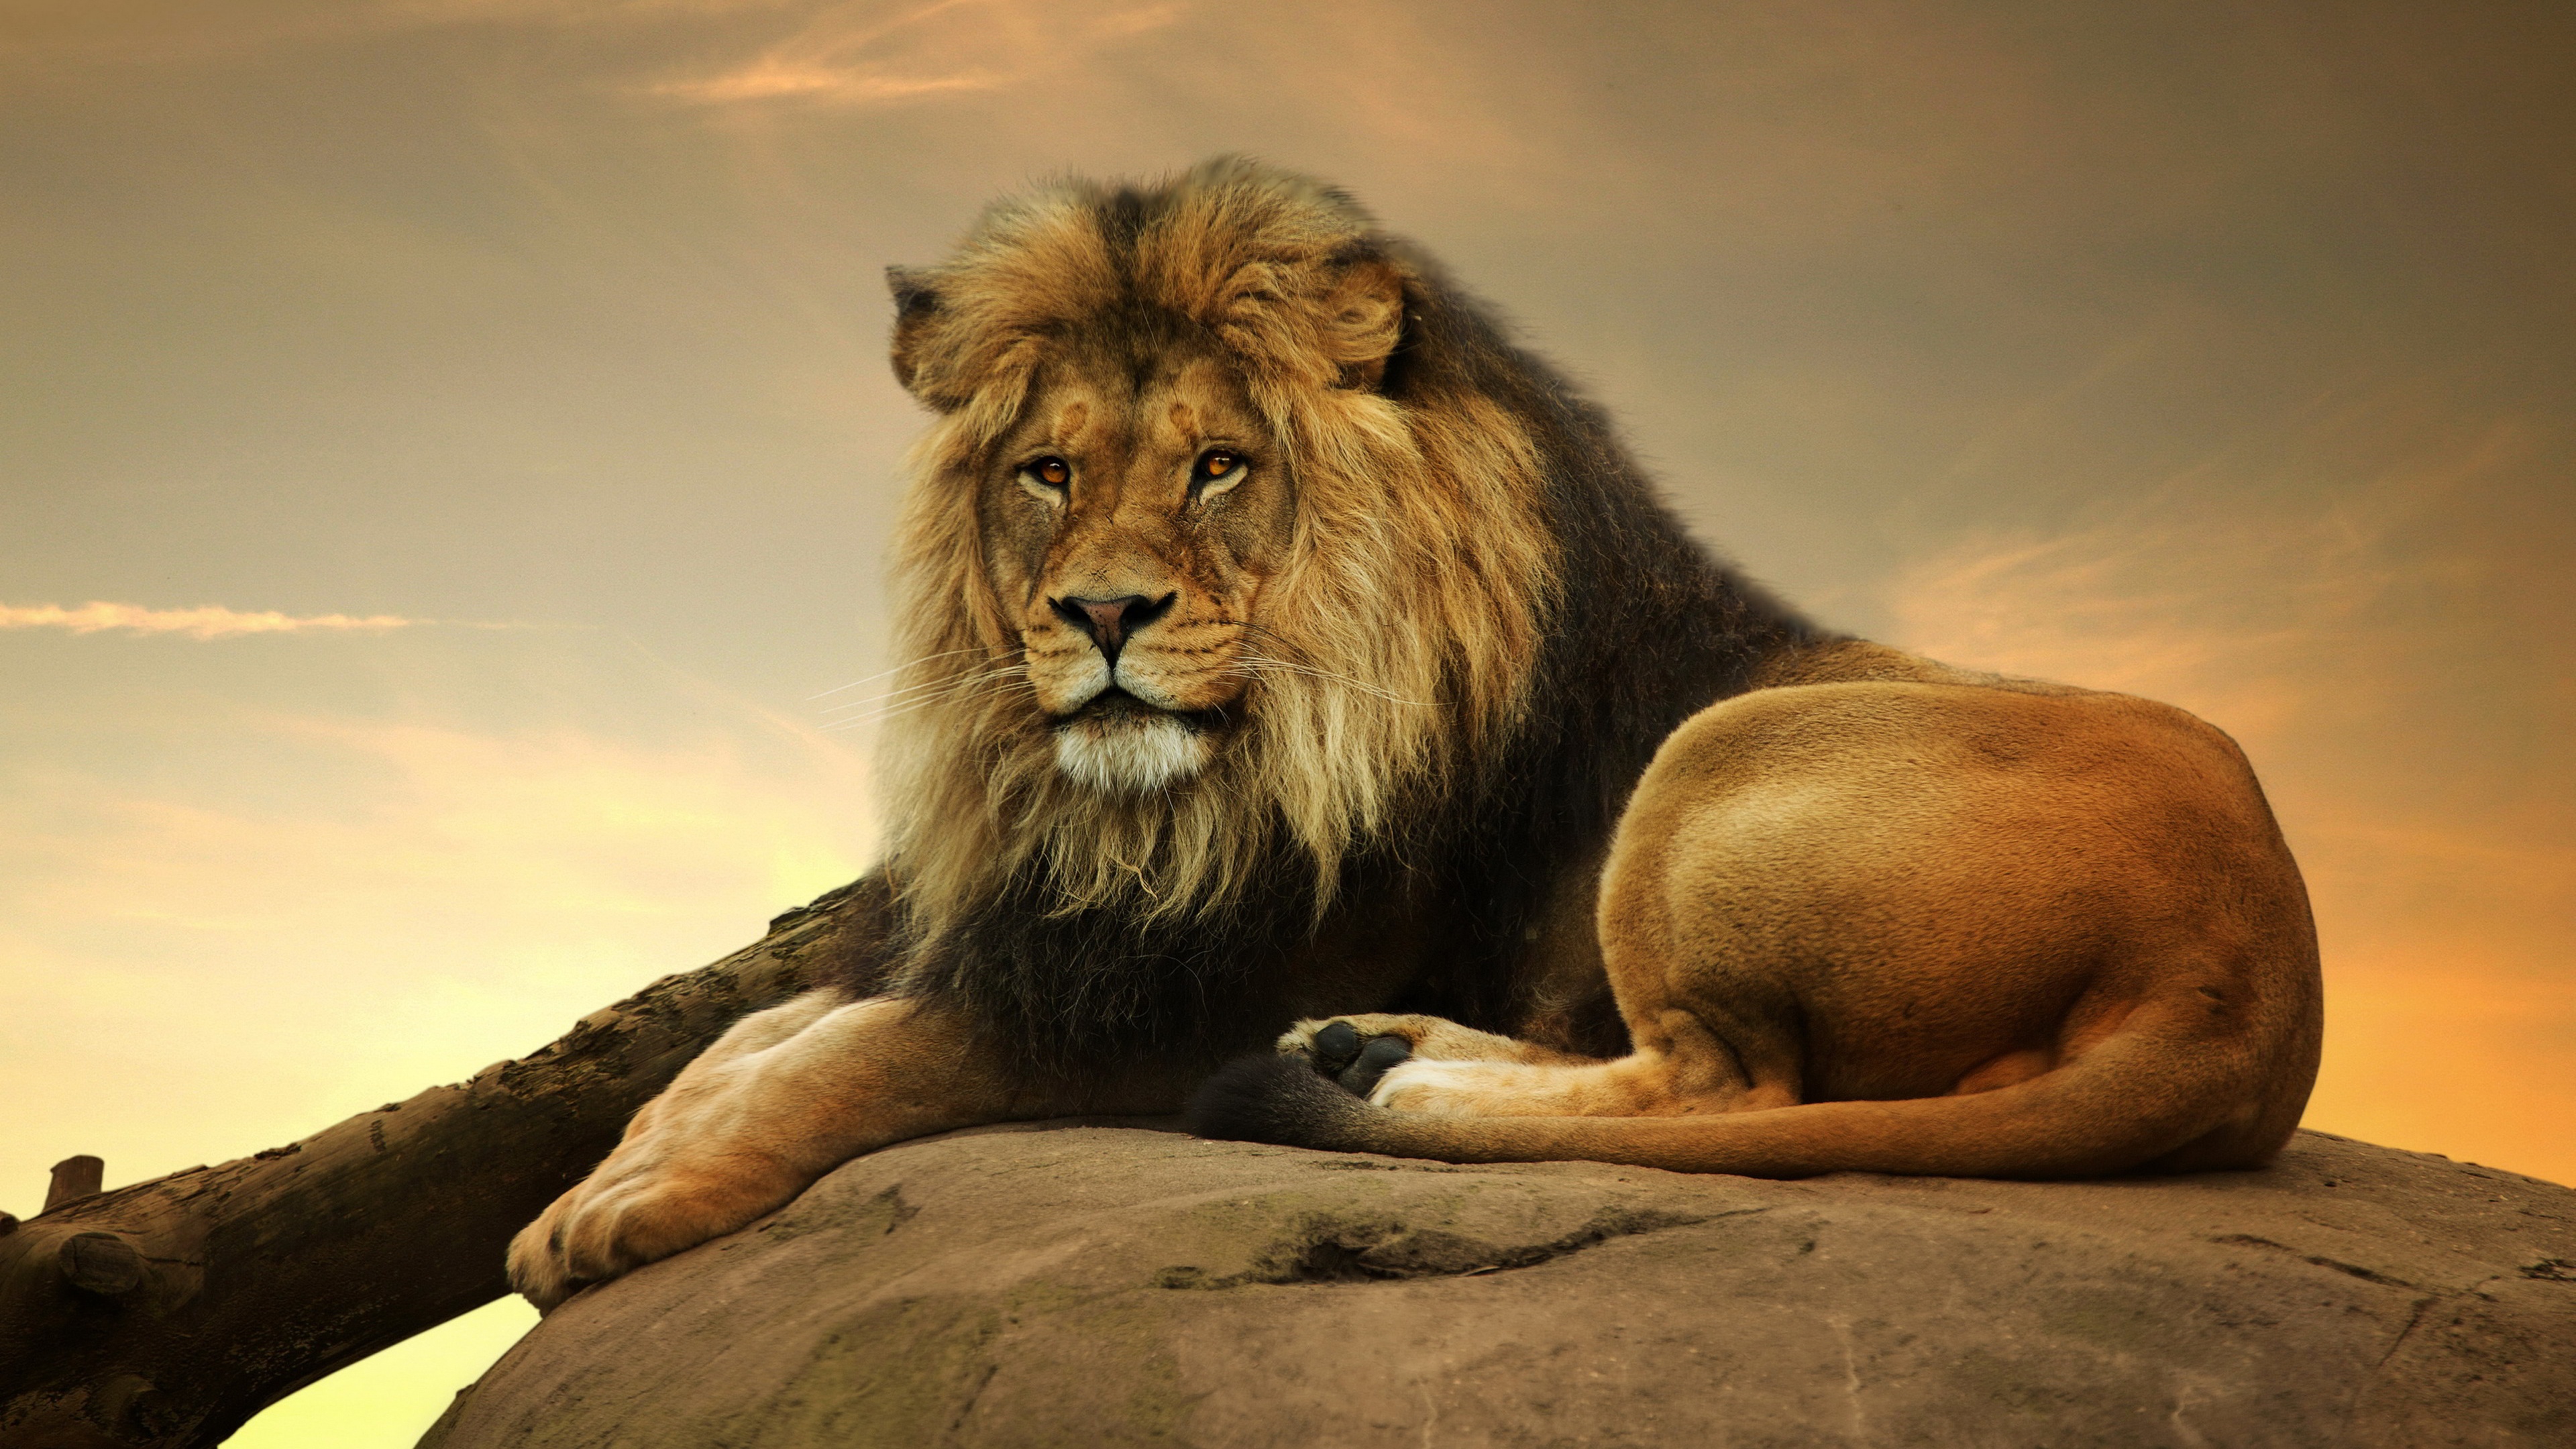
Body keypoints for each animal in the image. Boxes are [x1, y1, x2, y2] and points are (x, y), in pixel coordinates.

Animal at [506, 158, 2323, 1311]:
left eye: (1217, 468)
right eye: (1047, 473)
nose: (1102, 616)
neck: (1162, 803)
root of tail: (2252, 983)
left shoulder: (1170, 994)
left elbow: (865, 1054)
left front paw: (635, 1204)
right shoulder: (1047, 928)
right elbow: (755, 1036)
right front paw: (608, 1171)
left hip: (1713, 763)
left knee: (1717, 1086)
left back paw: (1374, 1066)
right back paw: (1372, 1054)